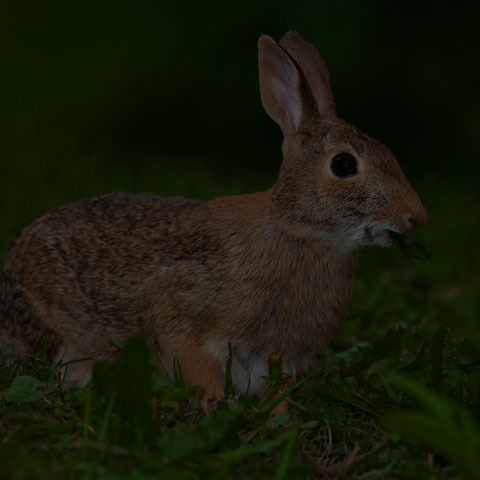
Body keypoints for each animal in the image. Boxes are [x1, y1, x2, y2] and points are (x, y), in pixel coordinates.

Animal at [0, 31, 428, 402]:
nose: (416, 217)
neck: (296, 231)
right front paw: (214, 405)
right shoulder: (185, 318)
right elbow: (196, 368)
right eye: (343, 164)